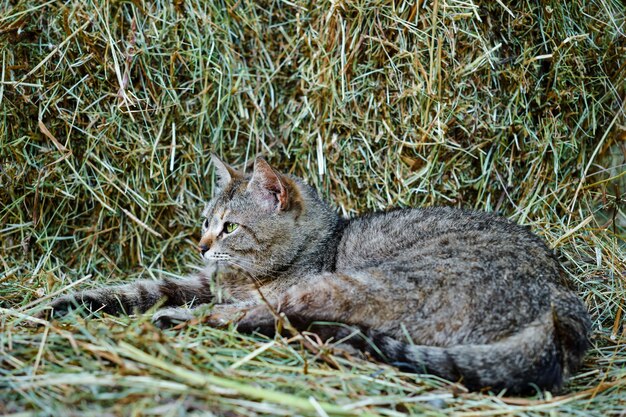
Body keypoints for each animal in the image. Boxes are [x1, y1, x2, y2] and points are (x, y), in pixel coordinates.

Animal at [44, 154, 588, 392]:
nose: (200, 244)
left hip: (360, 285)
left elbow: (224, 304)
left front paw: (169, 313)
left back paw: (179, 322)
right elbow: (146, 286)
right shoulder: (201, 282)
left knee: (280, 320)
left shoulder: (254, 290)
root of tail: (559, 311)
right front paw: (71, 302)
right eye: (205, 222)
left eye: (230, 227)